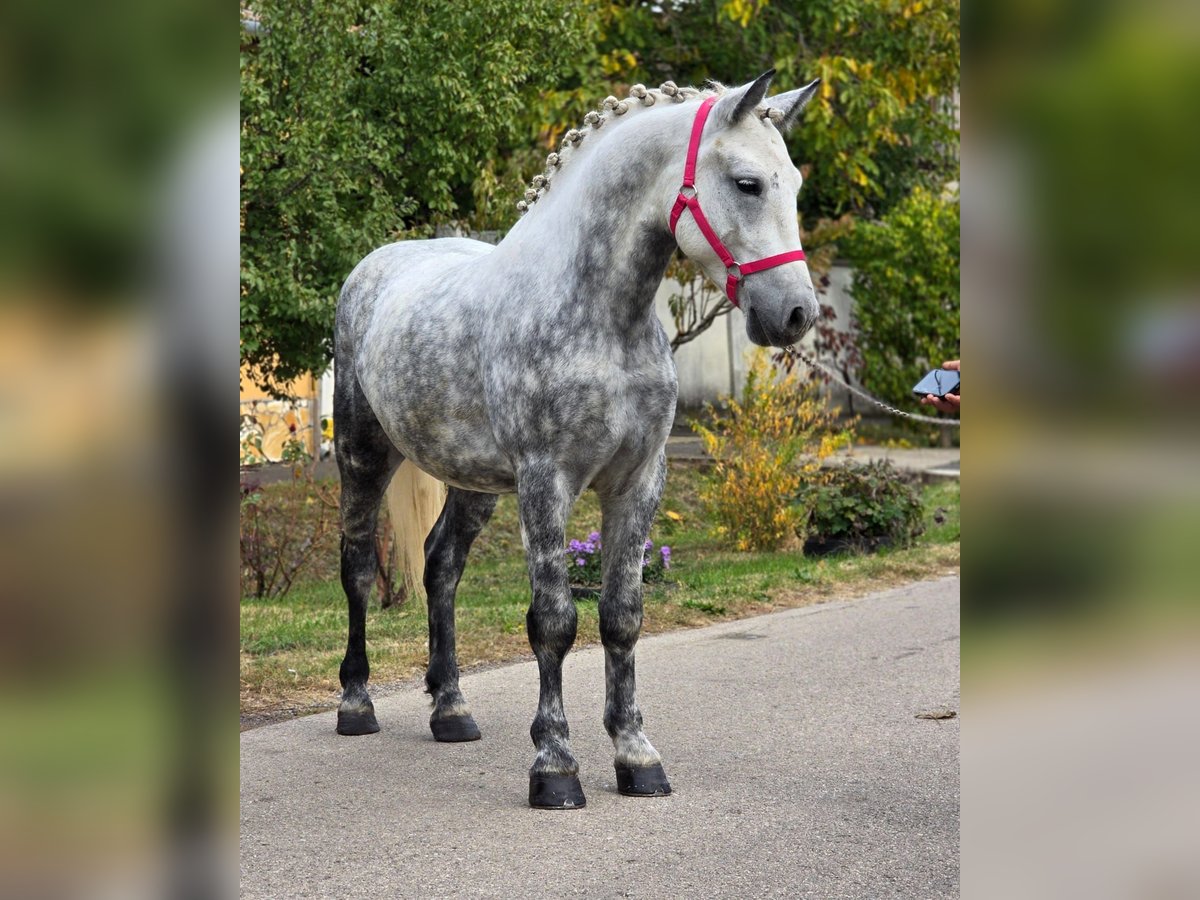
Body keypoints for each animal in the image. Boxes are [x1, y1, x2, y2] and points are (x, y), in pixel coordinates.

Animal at [333, 70, 821, 809]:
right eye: (746, 183)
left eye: (792, 181)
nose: (795, 314)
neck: (601, 317)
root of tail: (377, 266)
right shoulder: (547, 481)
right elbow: (554, 621)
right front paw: (555, 766)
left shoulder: (639, 481)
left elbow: (621, 615)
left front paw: (636, 756)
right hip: (363, 456)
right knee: (360, 567)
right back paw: (356, 704)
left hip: (474, 482)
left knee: (441, 566)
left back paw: (452, 710)